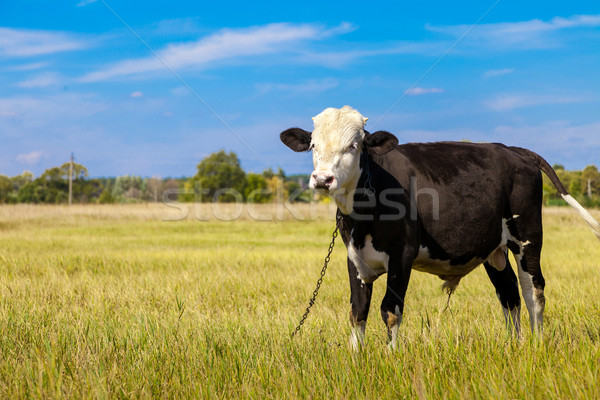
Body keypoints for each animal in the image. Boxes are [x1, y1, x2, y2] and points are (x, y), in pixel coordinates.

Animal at [280, 104, 600, 348]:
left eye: (353, 145)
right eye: (313, 146)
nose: (323, 179)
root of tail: (514, 150)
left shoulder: (402, 255)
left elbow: (390, 309)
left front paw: (391, 357)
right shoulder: (354, 257)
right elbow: (358, 311)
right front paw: (356, 358)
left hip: (527, 237)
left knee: (533, 291)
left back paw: (536, 344)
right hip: (493, 249)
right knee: (509, 293)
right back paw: (515, 345)